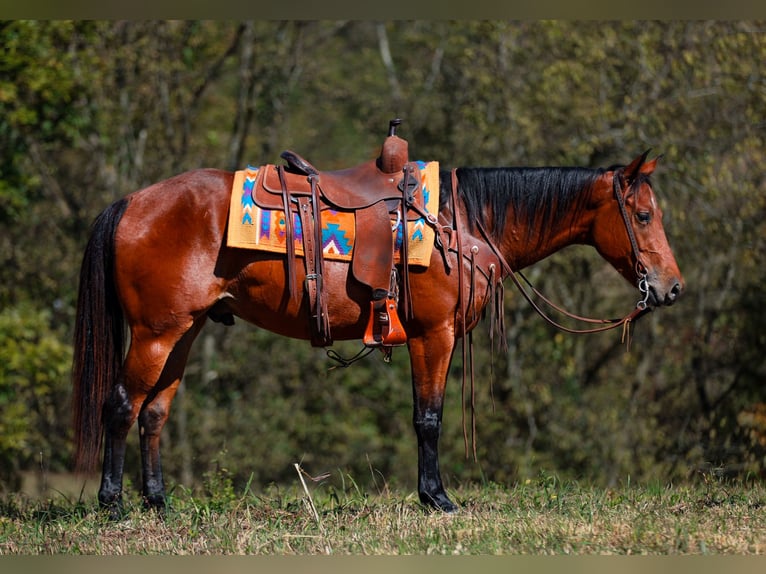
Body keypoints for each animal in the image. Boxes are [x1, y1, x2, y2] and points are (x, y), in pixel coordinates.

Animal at [72, 149, 683, 515]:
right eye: (644, 216)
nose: (672, 288)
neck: (460, 223)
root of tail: (132, 202)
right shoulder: (433, 335)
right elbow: (429, 418)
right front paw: (437, 498)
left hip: (184, 332)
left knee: (154, 411)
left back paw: (158, 501)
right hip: (155, 333)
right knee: (122, 405)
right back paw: (112, 503)